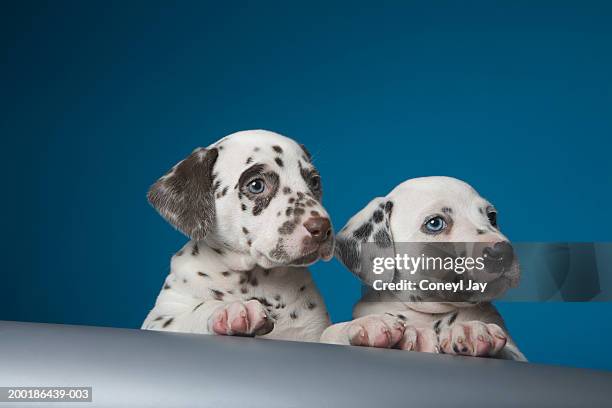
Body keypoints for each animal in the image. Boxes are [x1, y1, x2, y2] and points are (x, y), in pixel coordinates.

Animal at [142, 130, 334, 342]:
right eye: (257, 185)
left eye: (314, 182)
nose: (322, 228)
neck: (256, 280)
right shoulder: (162, 317)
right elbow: (193, 311)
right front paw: (230, 309)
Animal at [320, 177, 524, 362]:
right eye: (435, 223)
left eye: (492, 217)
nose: (503, 252)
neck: (428, 315)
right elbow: (329, 332)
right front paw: (367, 324)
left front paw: (471, 330)